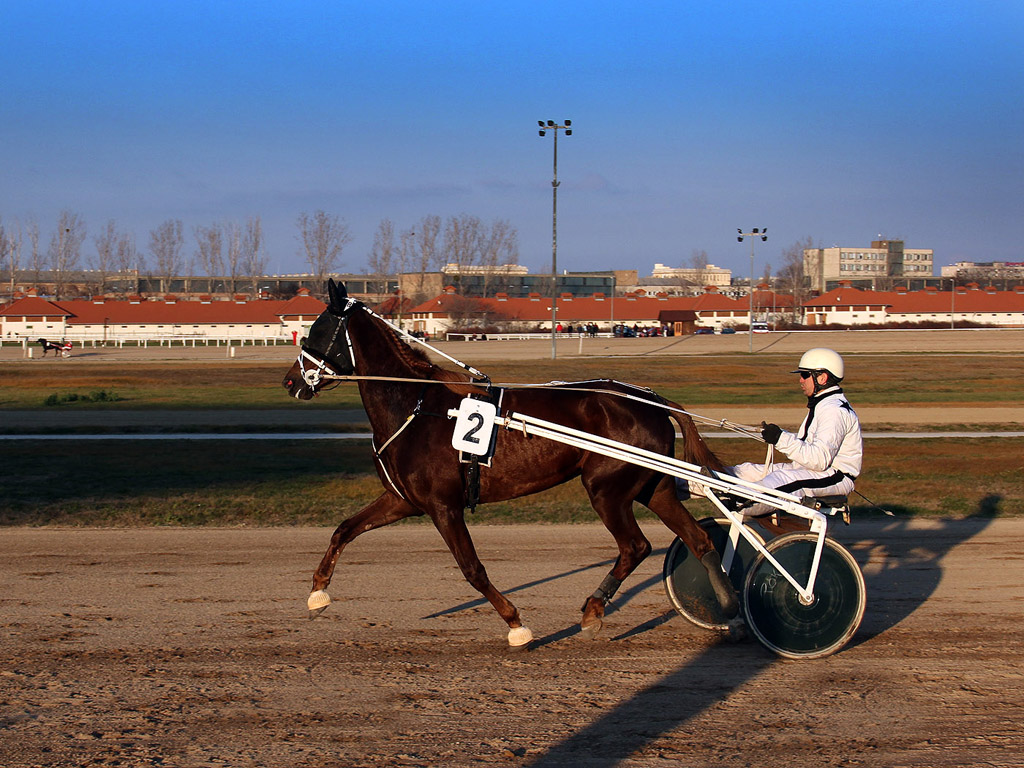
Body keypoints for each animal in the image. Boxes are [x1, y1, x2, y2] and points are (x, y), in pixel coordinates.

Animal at [284, 280, 741, 647]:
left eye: (316, 331)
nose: (290, 381)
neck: (416, 406)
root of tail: (649, 399)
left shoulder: (443, 506)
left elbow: (472, 569)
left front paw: (516, 625)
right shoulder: (404, 501)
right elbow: (344, 530)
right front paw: (317, 592)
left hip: (606, 489)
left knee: (635, 546)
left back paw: (594, 611)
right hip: (652, 487)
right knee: (699, 540)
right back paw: (728, 608)